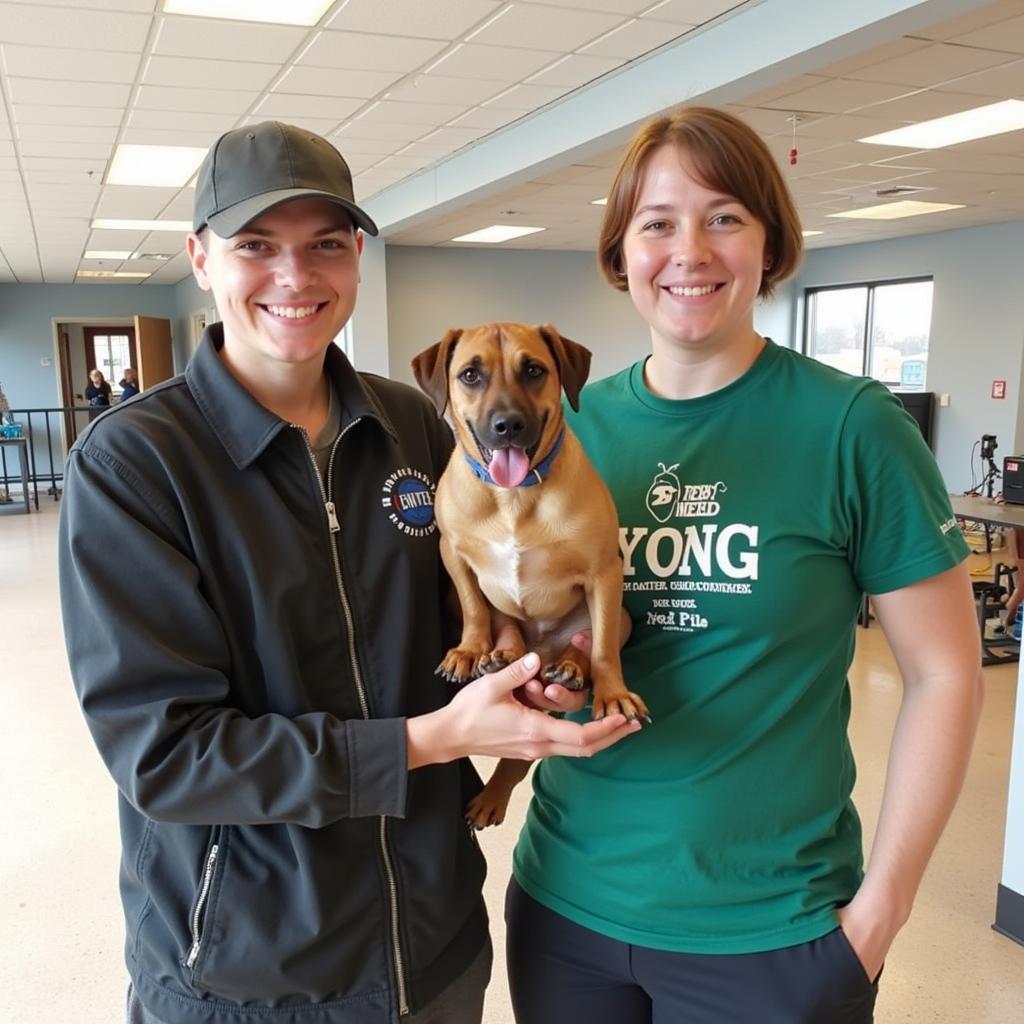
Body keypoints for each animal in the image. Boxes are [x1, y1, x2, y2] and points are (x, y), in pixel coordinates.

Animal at [411, 323, 643, 827]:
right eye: (470, 374)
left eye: (534, 370)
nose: (508, 425)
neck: (512, 497)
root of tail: (545, 647)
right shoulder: (452, 552)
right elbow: (475, 607)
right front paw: (470, 650)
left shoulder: (604, 571)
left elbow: (603, 650)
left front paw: (612, 692)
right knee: (509, 631)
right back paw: (500, 658)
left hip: (618, 617)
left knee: (586, 645)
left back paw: (569, 669)